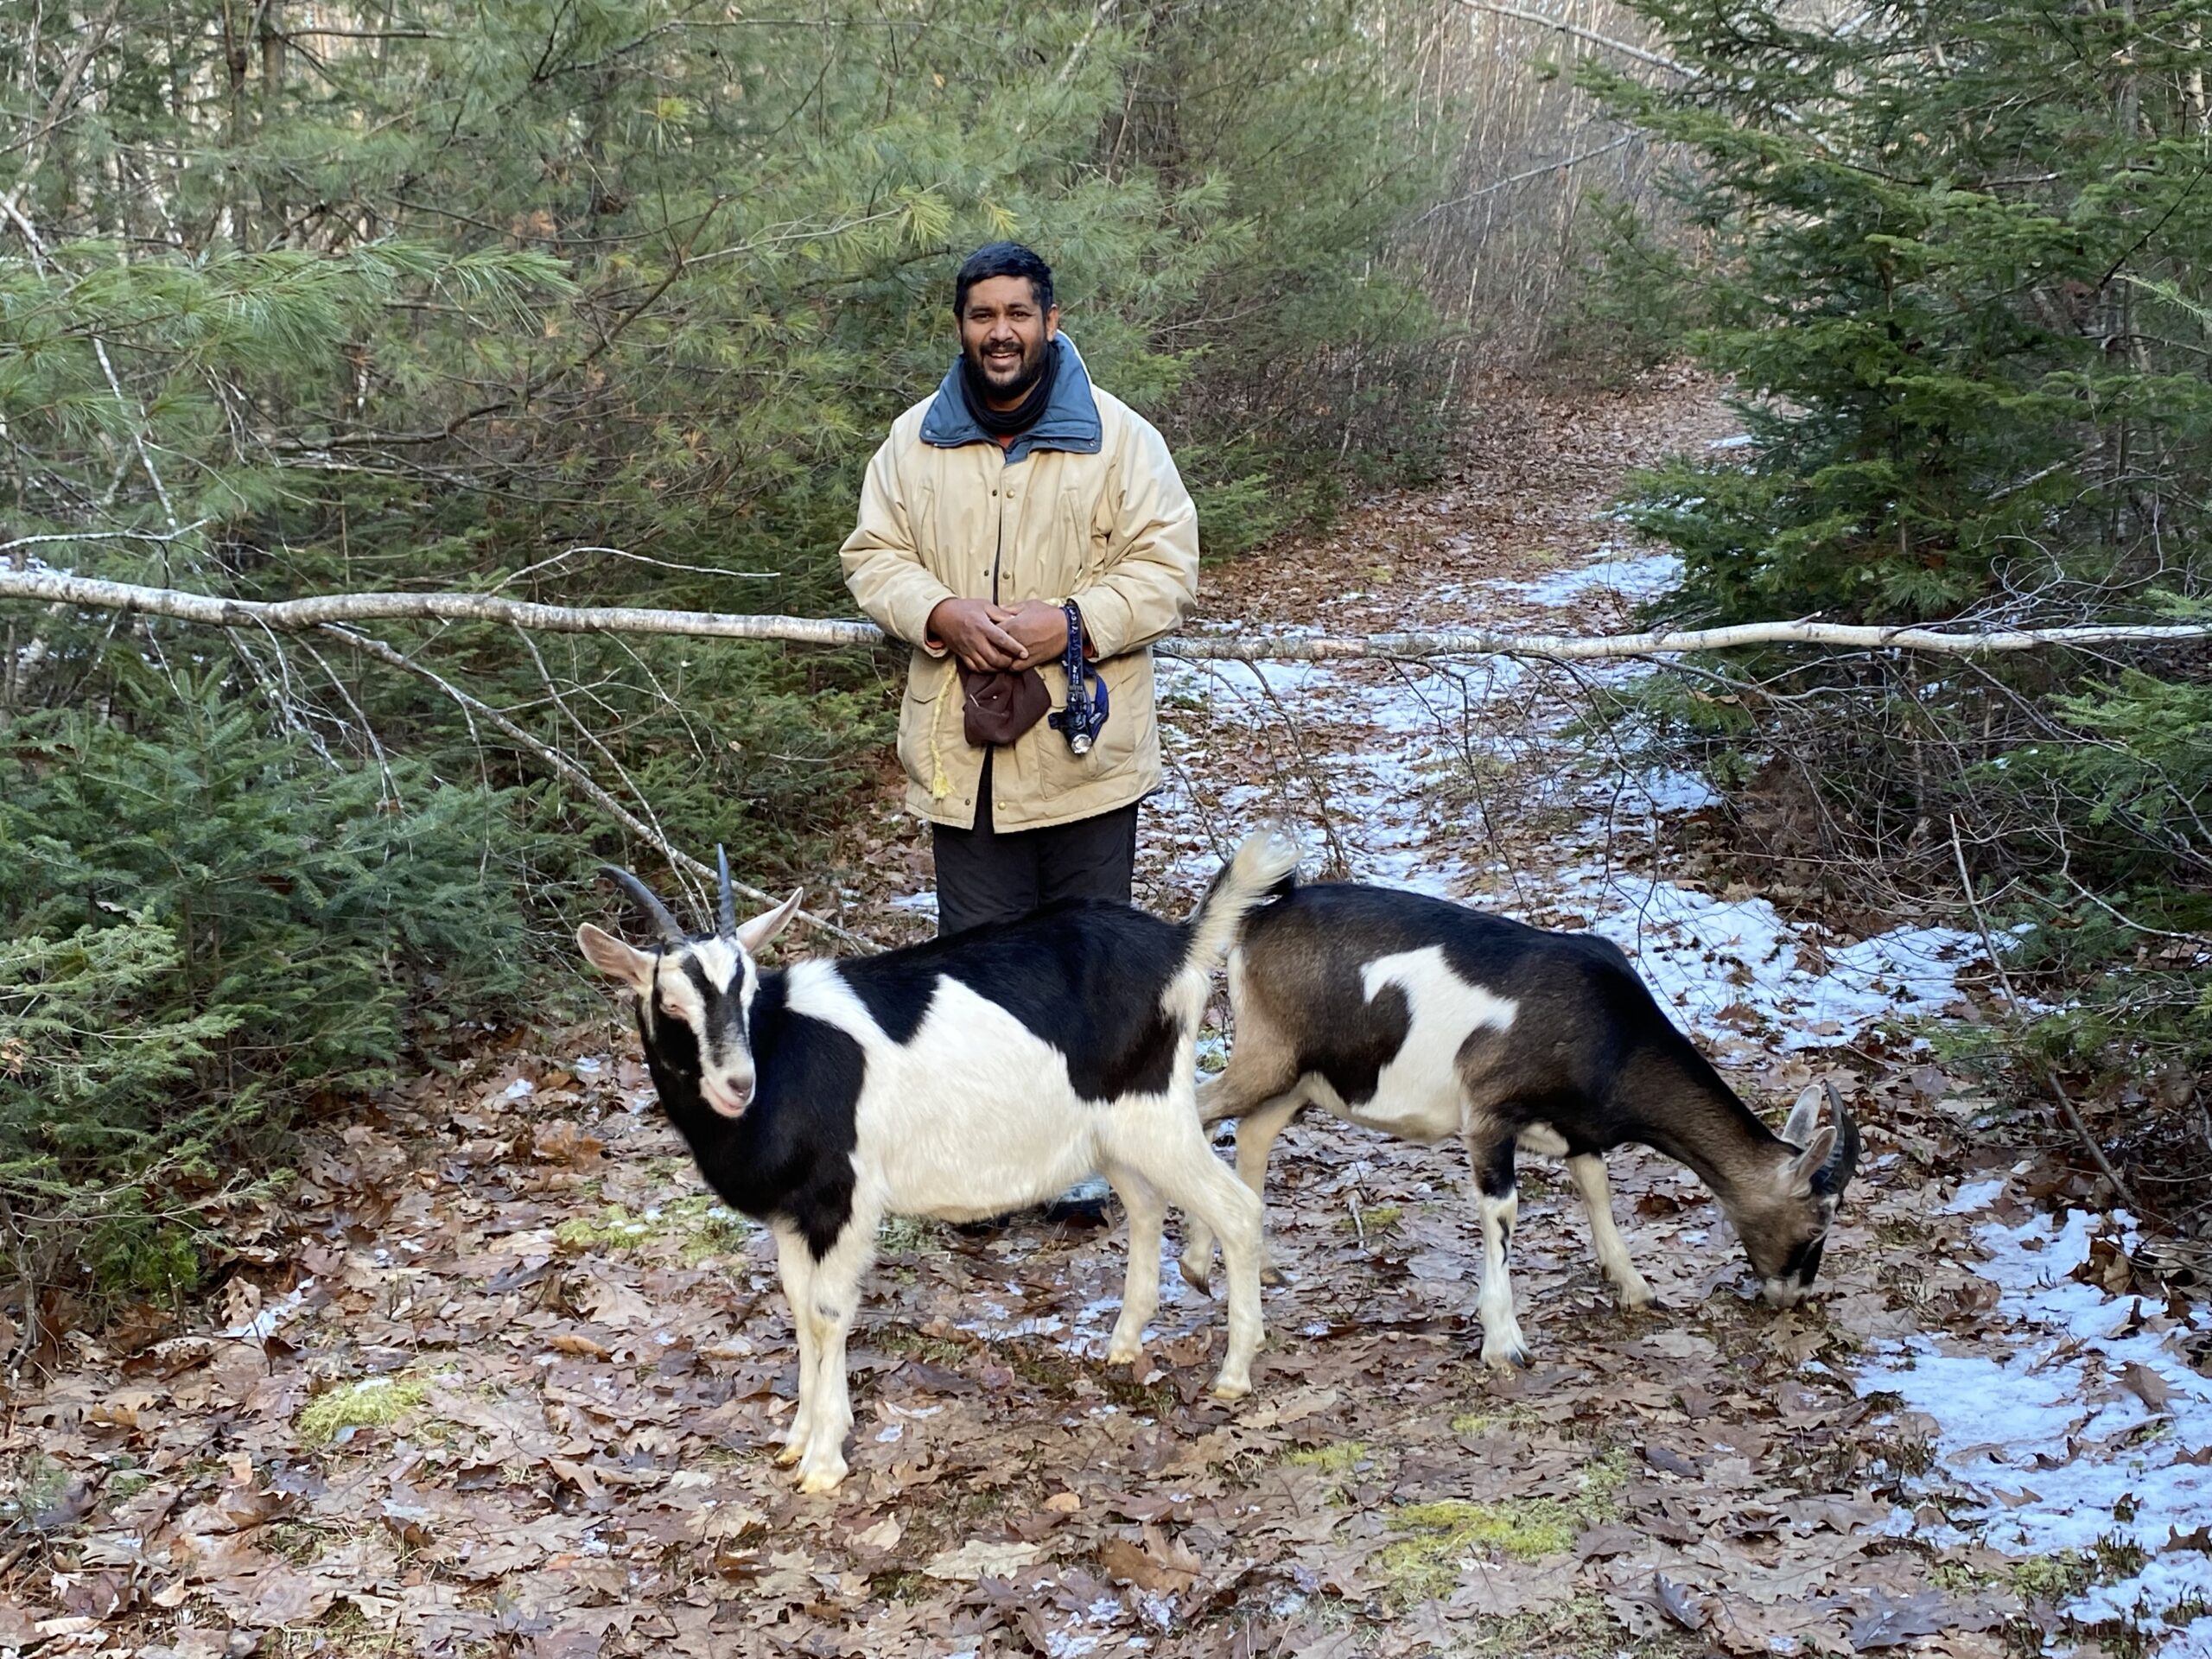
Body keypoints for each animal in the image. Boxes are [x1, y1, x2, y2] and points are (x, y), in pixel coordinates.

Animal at [575, 836, 1292, 1503]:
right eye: (670, 1003)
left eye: (749, 991)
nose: (736, 1083)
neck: (782, 1058)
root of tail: (1180, 944)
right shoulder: (793, 1215)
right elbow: (799, 1306)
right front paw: (797, 1439)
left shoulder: (843, 1198)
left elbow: (827, 1313)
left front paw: (824, 1460)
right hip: (1115, 1133)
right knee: (1146, 1207)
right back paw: (1125, 1341)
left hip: (1153, 1111)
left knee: (1235, 1208)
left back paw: (1234, 1371)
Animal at [1185, 875, 1858, 1371]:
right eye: (1818, 1224)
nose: (1794, 1297)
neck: (1611, 1036)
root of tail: (1258, 920)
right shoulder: (1489, 1113)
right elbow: (1503, 1211)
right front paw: (1504, 1341)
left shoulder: (1578, 1129)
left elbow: (1596, 1188)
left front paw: (1632, 1284)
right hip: (1269, 1053)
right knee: (1197, 1111)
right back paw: (1195, 1266)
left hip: (1304, 1078)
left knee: (1254, 1132)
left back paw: (1257, 1261)